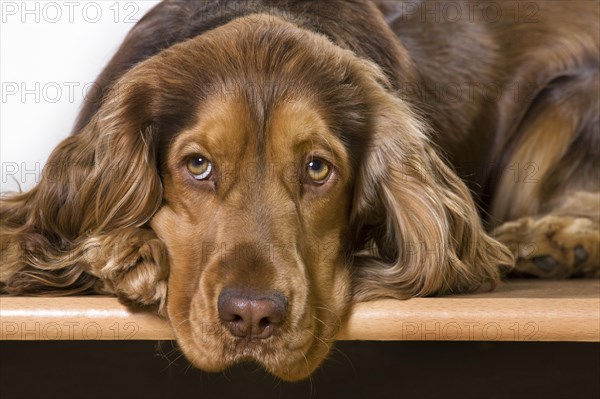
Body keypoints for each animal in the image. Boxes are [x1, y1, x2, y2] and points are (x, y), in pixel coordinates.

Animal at [0, 0, 596, 382]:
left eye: (317, 168)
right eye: (197, 165)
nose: (252, 318)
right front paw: (125, 251)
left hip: (567, 98)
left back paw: (556, 242)